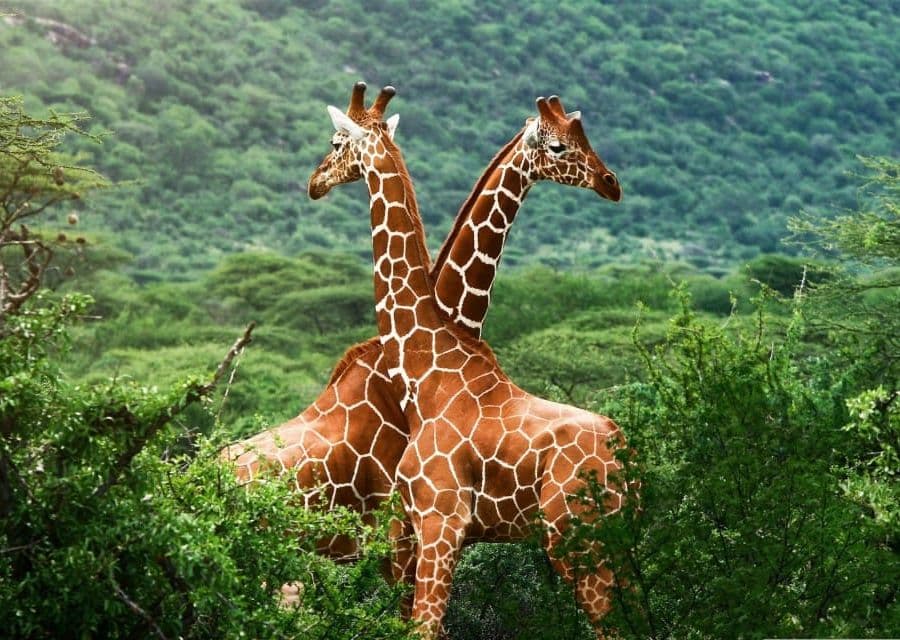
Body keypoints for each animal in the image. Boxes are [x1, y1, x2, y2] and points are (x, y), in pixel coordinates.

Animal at [307, 82, 629, 639]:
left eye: (334, 142)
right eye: (560, 145)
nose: (314, 182)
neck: (428, 363)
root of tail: (624, 454)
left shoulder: (439, 521)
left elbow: (423, 628)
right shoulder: (417, 529)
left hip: (578, 540)